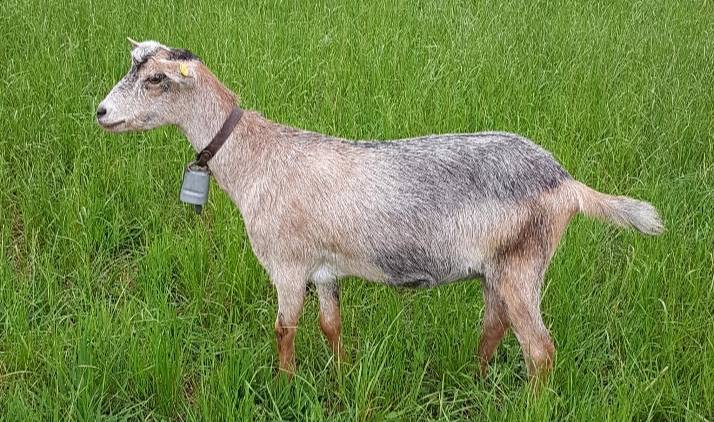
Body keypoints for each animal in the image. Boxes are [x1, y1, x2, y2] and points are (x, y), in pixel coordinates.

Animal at [97, 39, 664, 382]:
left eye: (155, 80)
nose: (101, 112)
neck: (256, 158)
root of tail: (567, 184)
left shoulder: (286, 264)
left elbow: (284, 329)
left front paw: (285, 383)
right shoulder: (324, 268)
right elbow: (331, 325)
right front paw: (341, 377)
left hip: (524, 263)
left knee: (540, 351)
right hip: (500, 269)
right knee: (494, 327)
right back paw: (475, 381)